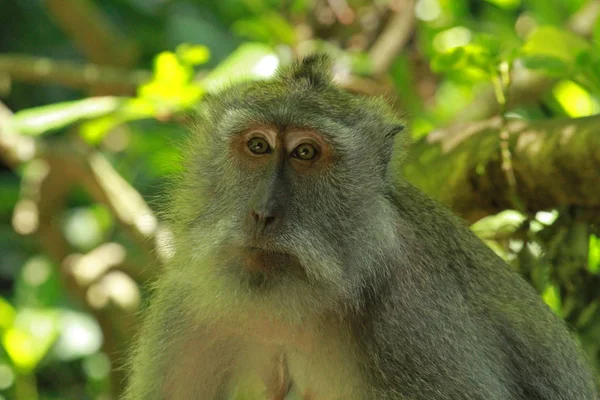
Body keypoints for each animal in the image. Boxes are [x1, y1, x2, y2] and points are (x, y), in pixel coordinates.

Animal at [123, 54, 600, 400]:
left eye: (306, 153)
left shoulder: (415, 317)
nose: (262, 213)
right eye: (258, 146)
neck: (294, 308)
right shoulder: (187, 305)